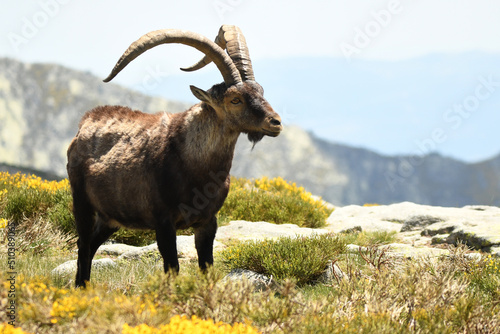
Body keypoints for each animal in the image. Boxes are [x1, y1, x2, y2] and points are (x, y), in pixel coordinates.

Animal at [67, 25, 282, 288]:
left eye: (261, 91)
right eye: (235, 99)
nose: (275, 122)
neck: (195, 164)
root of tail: (86, 122)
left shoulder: (208, 221)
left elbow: (206, 267)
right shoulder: (164, 222)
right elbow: (172, 267)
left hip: (111, 216)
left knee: (92, 243)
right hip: (82, 201)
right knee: (84, 242)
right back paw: (80, 287)